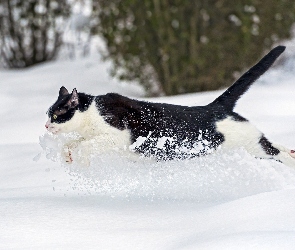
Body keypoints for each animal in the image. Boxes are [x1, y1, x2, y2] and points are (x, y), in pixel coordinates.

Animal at [45, 46, 295, 168]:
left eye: (56, 115)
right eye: (47, 115)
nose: (47, 125)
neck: (91, 113)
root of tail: (214, 106)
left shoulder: (115, 136)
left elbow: (85, 145)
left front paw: (79, 160)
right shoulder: (91, 136)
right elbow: (72, 142)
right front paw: (68, 156)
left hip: (250, 144)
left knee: (276, 151)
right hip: (250, 144)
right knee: (277, 145)